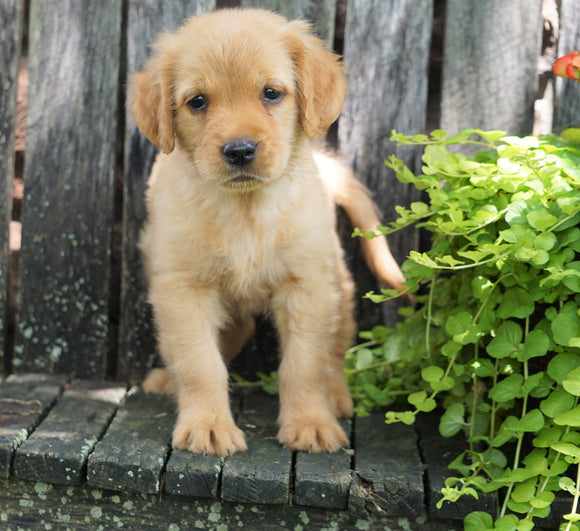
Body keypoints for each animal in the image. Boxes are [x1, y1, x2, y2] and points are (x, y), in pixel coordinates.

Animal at [130, 8, 406, 458]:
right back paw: (168, 380)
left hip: (338, 285)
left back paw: (337, 398)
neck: (246, 210)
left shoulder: (306, 287)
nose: (240, 151)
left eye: (272, 93)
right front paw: (207, 425)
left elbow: (304, 363)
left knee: (335, 351)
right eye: (198, 101)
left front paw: (310, 422)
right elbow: (199, 361)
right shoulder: (183, 288)